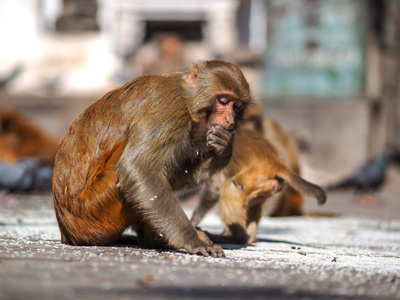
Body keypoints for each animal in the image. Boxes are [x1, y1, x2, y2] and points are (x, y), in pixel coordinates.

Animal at [52, 59, 252, 256]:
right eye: (223, 101)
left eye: (237, 106)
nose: (230, 120)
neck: (189, 102)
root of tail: (67, 233)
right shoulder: (170, 110)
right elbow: (139, 168)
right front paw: (191, 240)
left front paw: (224, 148)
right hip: (94, 211)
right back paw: (157, 240)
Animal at [190, 130, 324, 245]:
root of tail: (276, 162)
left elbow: (214, 189)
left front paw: (193, 223)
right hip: (267, 185)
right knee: (253, 204)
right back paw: (250, 238)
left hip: (256, 176)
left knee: (231, 186)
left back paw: (235, 237)